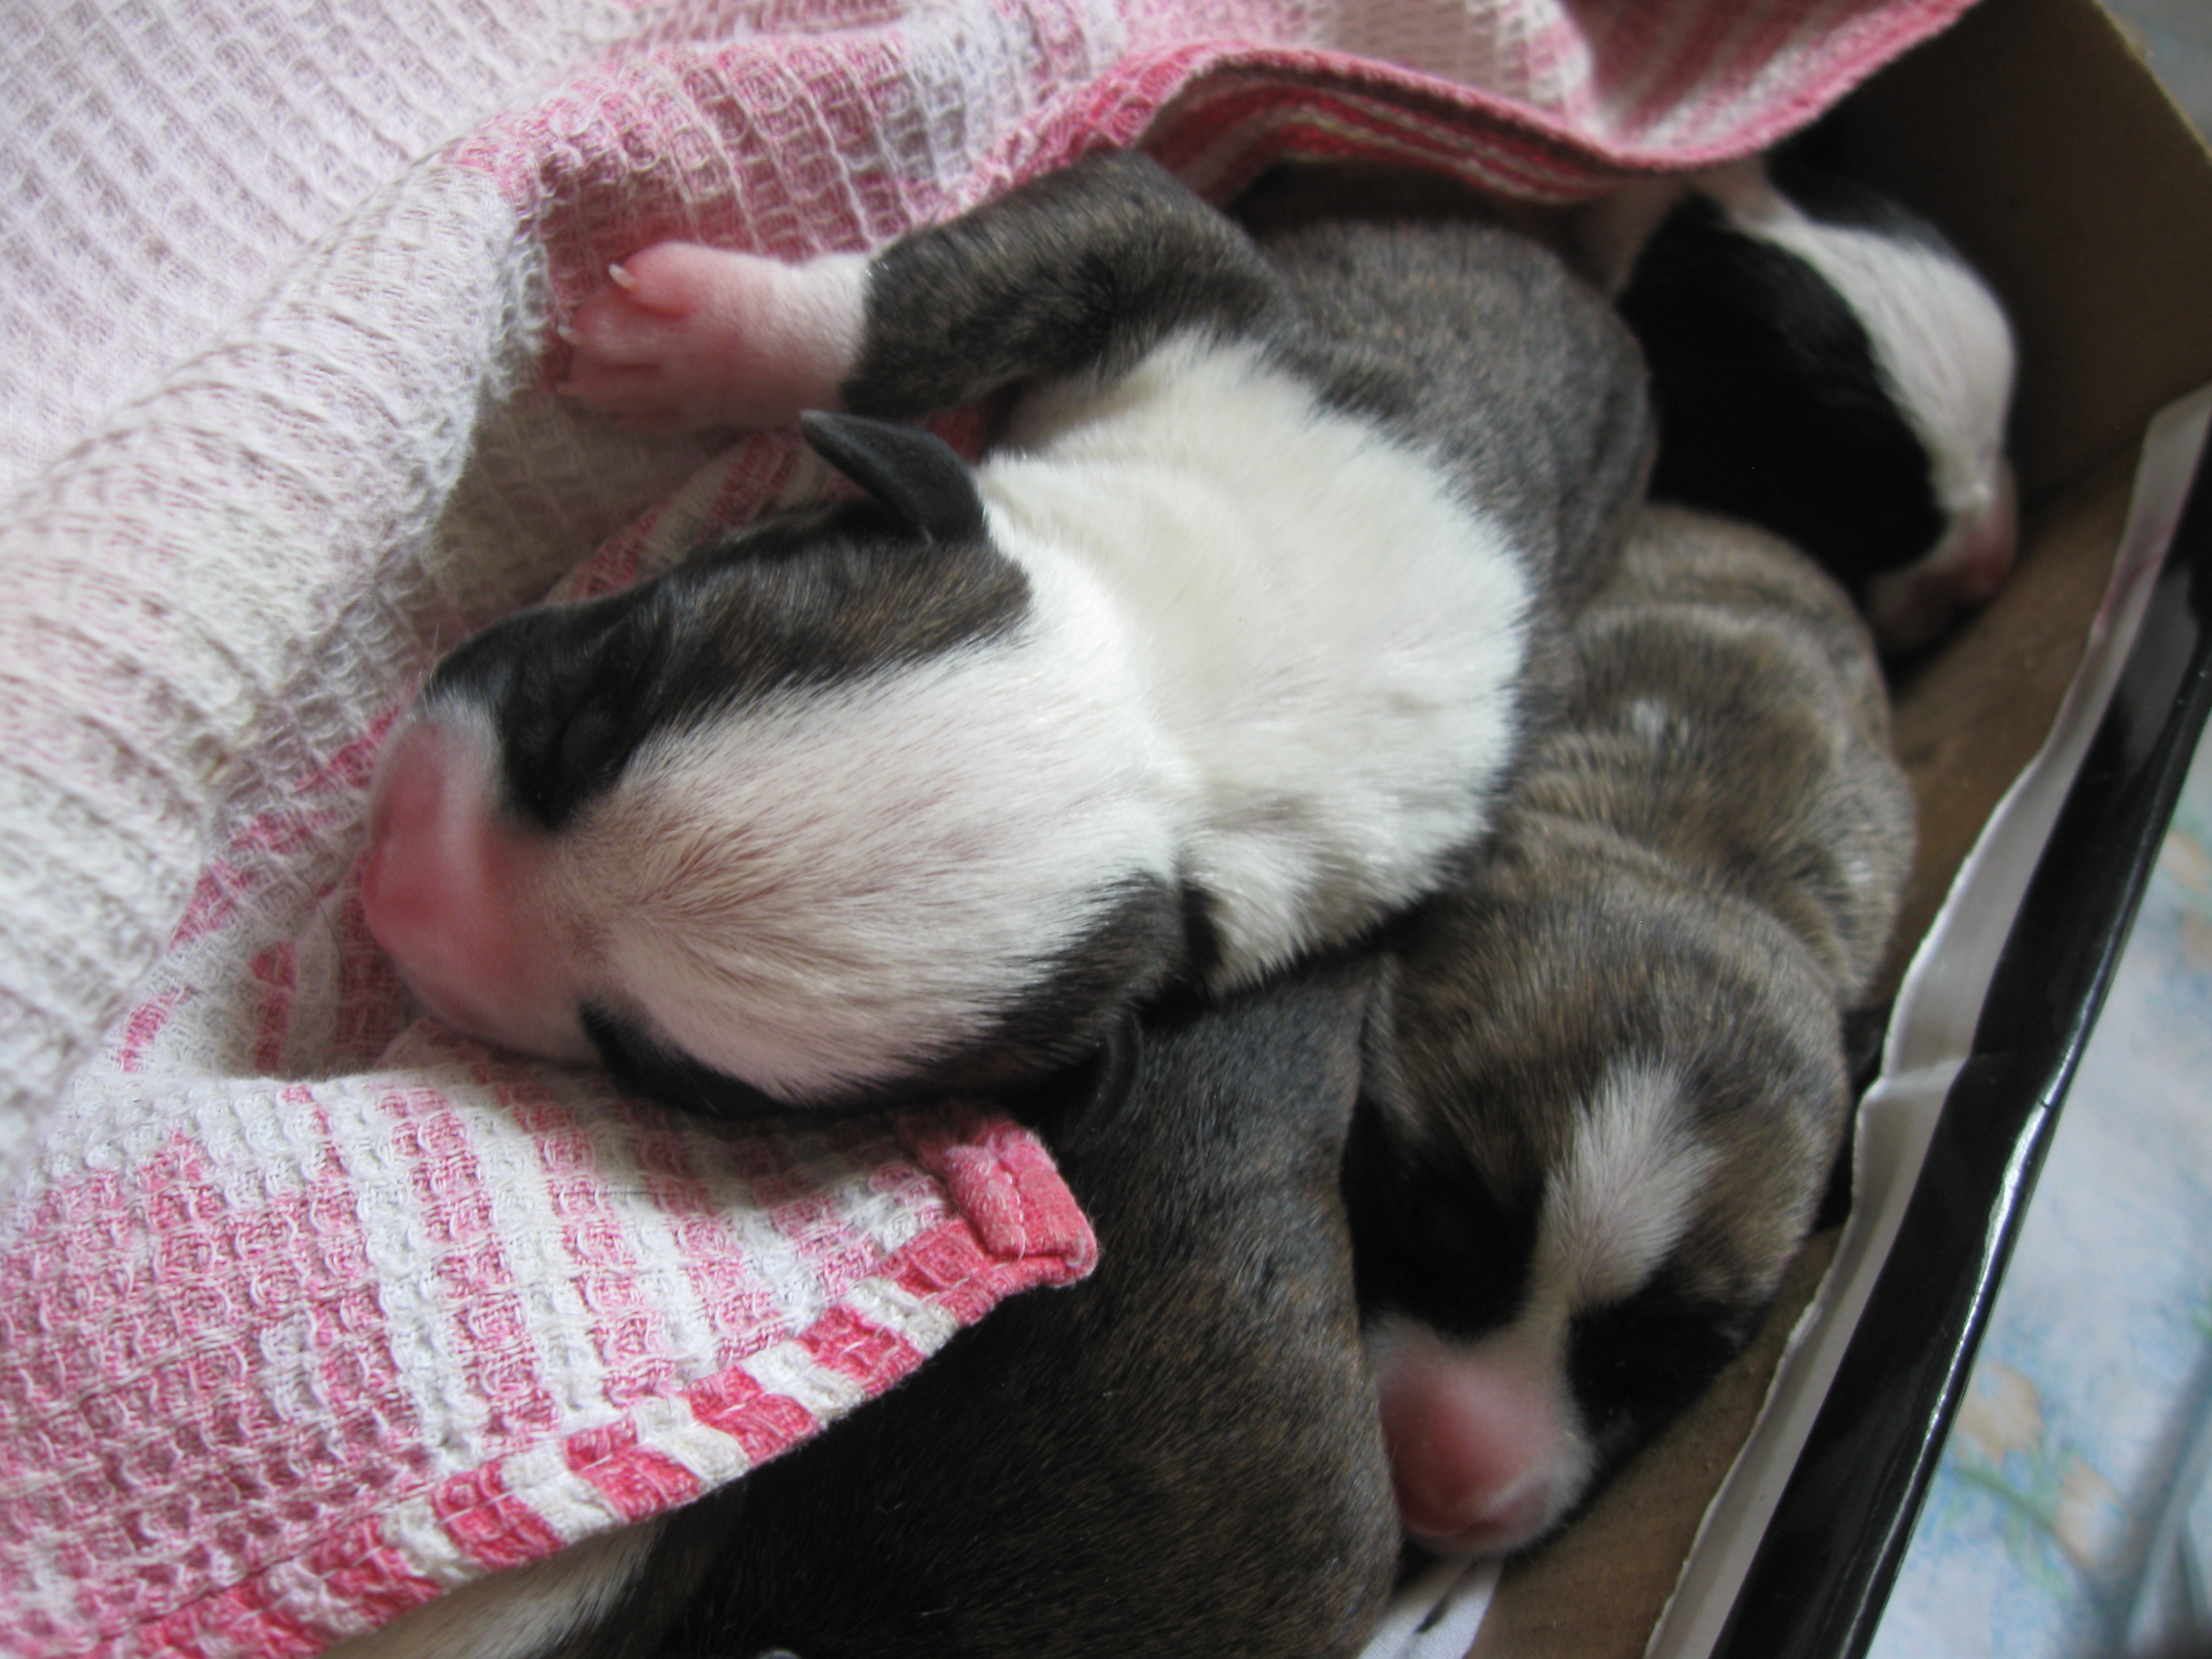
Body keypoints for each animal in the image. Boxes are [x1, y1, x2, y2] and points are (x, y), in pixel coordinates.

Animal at [360, 150, 1652, 1114]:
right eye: (590, 717)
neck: (1174, 705)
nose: (397, 880)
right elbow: (923, 312)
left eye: (648, 1061)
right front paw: (694, 346)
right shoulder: (1181, 289)